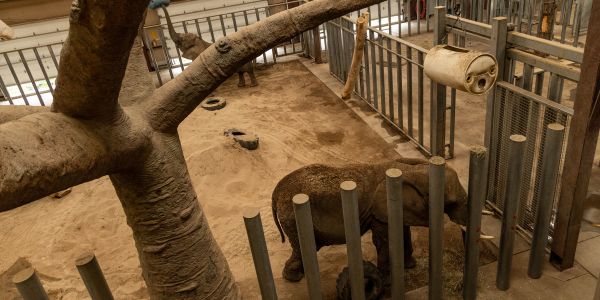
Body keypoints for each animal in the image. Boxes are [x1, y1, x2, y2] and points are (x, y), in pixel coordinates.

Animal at [270, 158, 466, 282]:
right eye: (452, 202)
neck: (411, 171)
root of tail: (276, 190)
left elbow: (403, 230)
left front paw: (410, 266)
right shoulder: (378, 212)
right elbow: (383, 241)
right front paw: (387, 282)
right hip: (292, 216)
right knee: (301, 246)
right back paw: (294, 279)